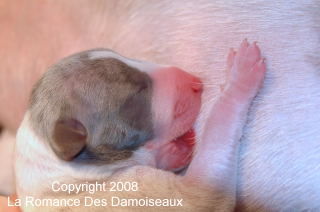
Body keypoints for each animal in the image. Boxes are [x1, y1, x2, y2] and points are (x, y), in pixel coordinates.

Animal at [14, 40, 264, 212]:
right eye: (137, 93)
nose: (196, 82)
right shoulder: (137, 191)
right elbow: (204, 188)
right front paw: (240, 75)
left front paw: (176, 150)